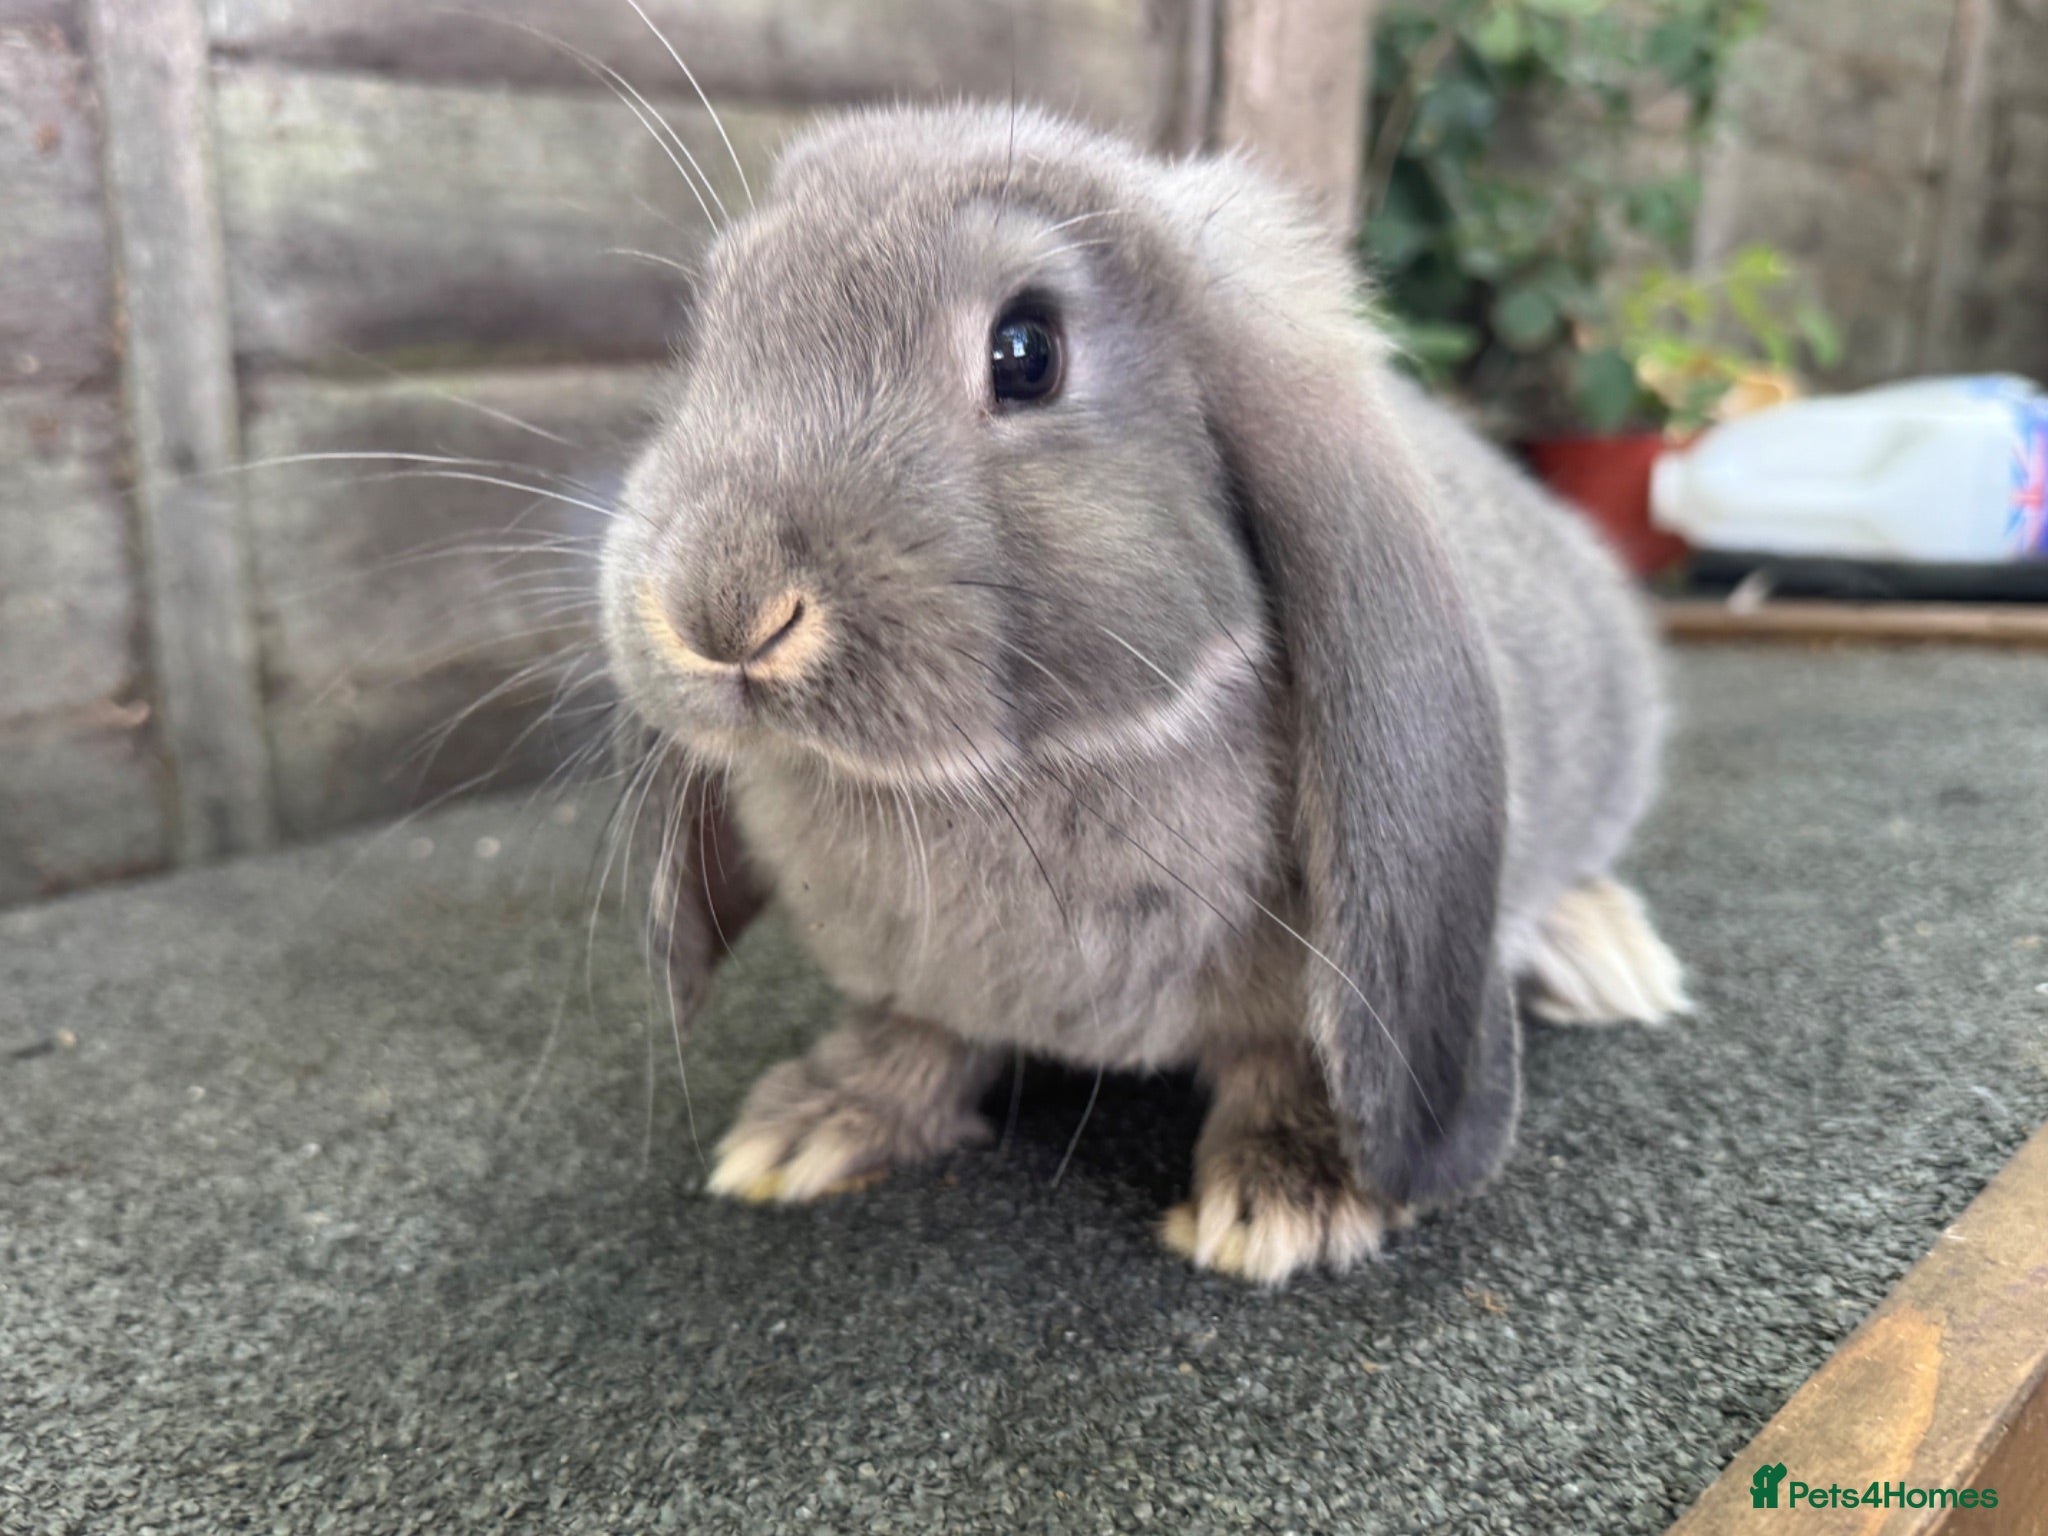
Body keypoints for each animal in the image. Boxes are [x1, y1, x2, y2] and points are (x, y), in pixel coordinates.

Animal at [599, 102, 1689, 1286]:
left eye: (1025, 352)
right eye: (718, 323)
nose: (719, 616)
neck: (1021, 775)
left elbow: (1293, 1063)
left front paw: (1292, 1200)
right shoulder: (914, 983)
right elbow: (913, 1040)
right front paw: (818, 1123)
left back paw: (1606, 958)